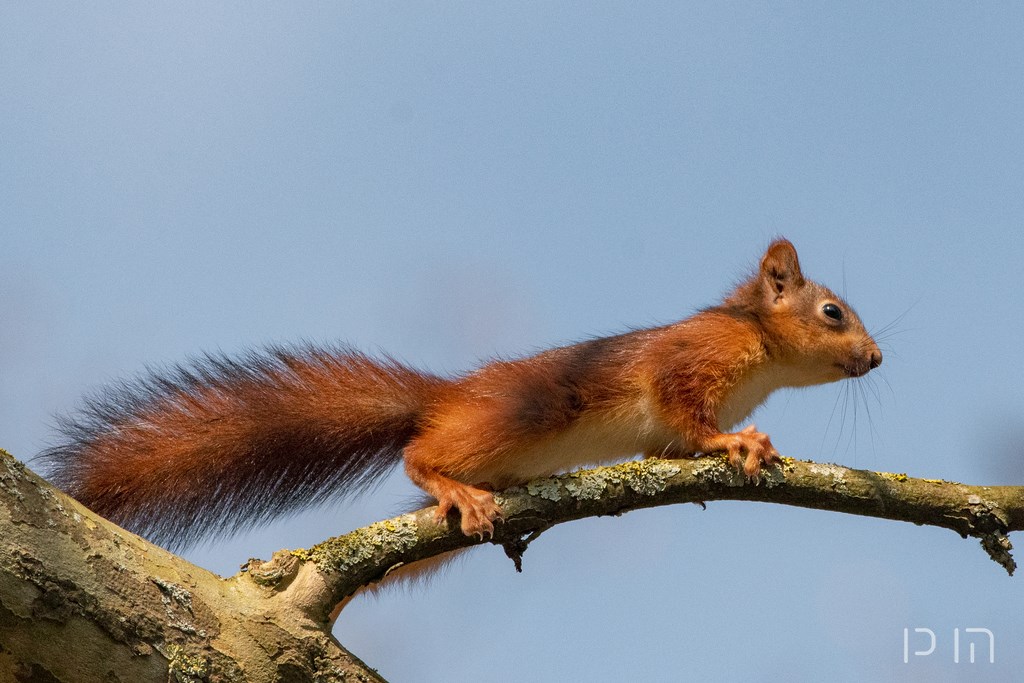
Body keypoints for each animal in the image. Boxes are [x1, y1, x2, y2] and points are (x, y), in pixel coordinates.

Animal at [41, 240, 880, 548]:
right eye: (832, 312)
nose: (876, 356)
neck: (759, 349)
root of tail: (441, 396)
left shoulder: (663, 430)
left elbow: (668, 446)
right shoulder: (689, 365)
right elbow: (688, 416)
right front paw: (738, 441)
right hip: (504, 422)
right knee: (419, 452)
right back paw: (452, 487)